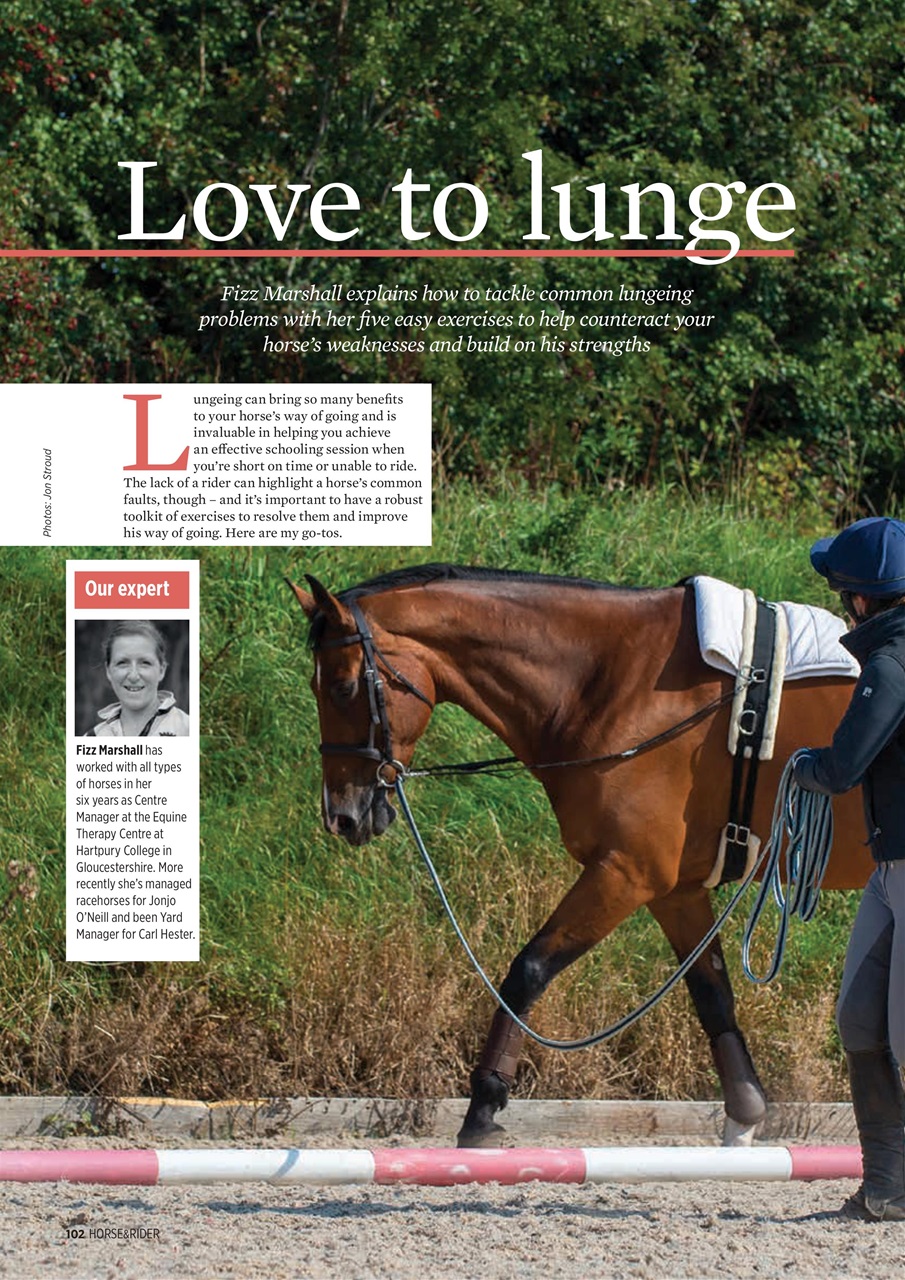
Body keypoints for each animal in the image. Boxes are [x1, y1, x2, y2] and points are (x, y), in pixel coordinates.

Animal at [289, 564, 873, 1148]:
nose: (341, 816)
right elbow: (712, 993)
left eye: (343, 687)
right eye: (317, 688)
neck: (614, 682)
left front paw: (483, 1109)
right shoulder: (675, 891)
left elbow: (528, 971)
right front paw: (745, 1118)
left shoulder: (624, 874)